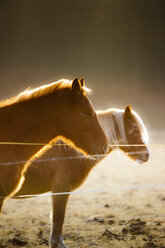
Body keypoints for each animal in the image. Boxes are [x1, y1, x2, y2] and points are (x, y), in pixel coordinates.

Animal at [13, 105, 150, 248]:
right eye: (134, 129)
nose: (146, 155)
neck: (70, 152)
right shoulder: (61, 189)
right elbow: (58, 217)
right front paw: (57, 243)